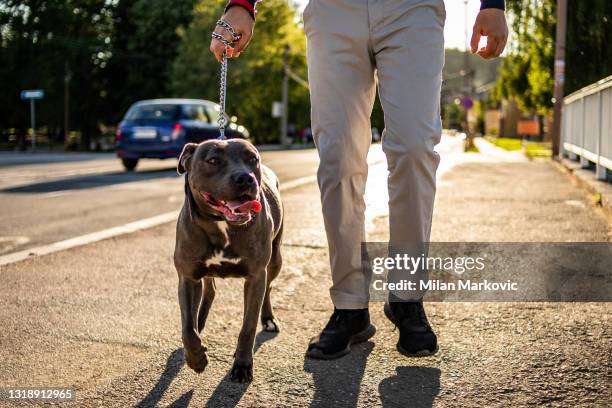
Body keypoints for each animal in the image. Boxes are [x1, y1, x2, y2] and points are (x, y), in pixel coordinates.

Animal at [173, 139, 284, 382]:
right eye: (213, 160)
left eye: (252, 159)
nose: (245, 178)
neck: (220, 224)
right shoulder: (187, 277)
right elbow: (187, 328)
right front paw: (196, 359)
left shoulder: (256, 276)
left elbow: (248, 327)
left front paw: (242, 365)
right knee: (208, 291)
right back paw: (200, 322)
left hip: (275, 260)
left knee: (269, 288)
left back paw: (268, 319)